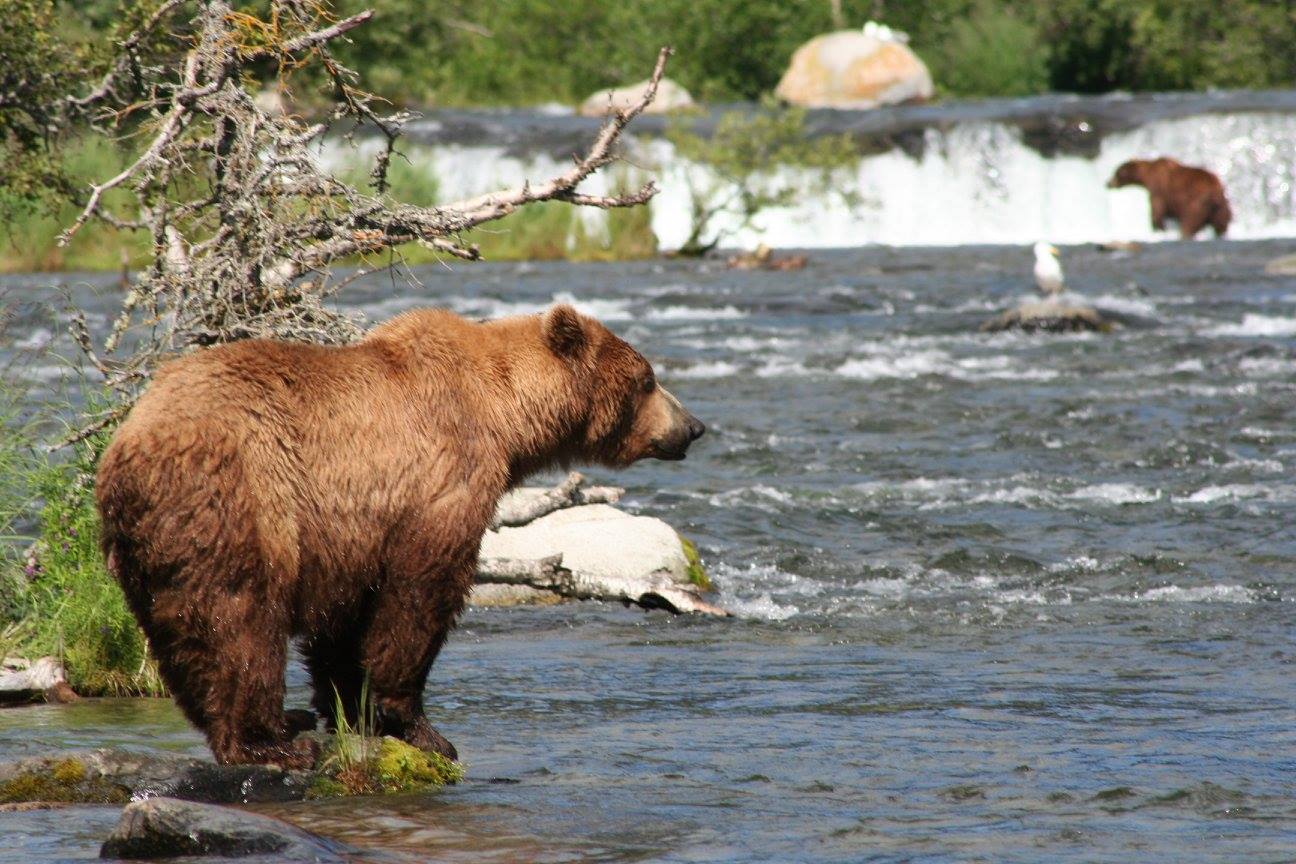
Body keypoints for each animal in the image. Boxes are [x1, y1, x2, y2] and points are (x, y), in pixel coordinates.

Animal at [95, 306, 705, 766]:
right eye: (648, 380)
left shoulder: (351, 535)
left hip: (152, 552)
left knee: (187, 635)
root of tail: (126, 455)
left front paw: (350, 708)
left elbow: (344, 623)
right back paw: (270, 741)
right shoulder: (440, 480)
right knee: (239, 623)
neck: (504, 417)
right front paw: (418, 726)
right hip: (241, 505)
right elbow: (418, 598)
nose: (693, 426)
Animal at [1104, 158, 1233, 239]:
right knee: (1222, 226)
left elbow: (1156, 211)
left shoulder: (1158, 189)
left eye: (1116, 172)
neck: (1146, 177)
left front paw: (1158, 228)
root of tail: (1215, 190)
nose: (1107, 183)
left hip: (1196, 203)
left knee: (1189, 223)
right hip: (1221, 208)